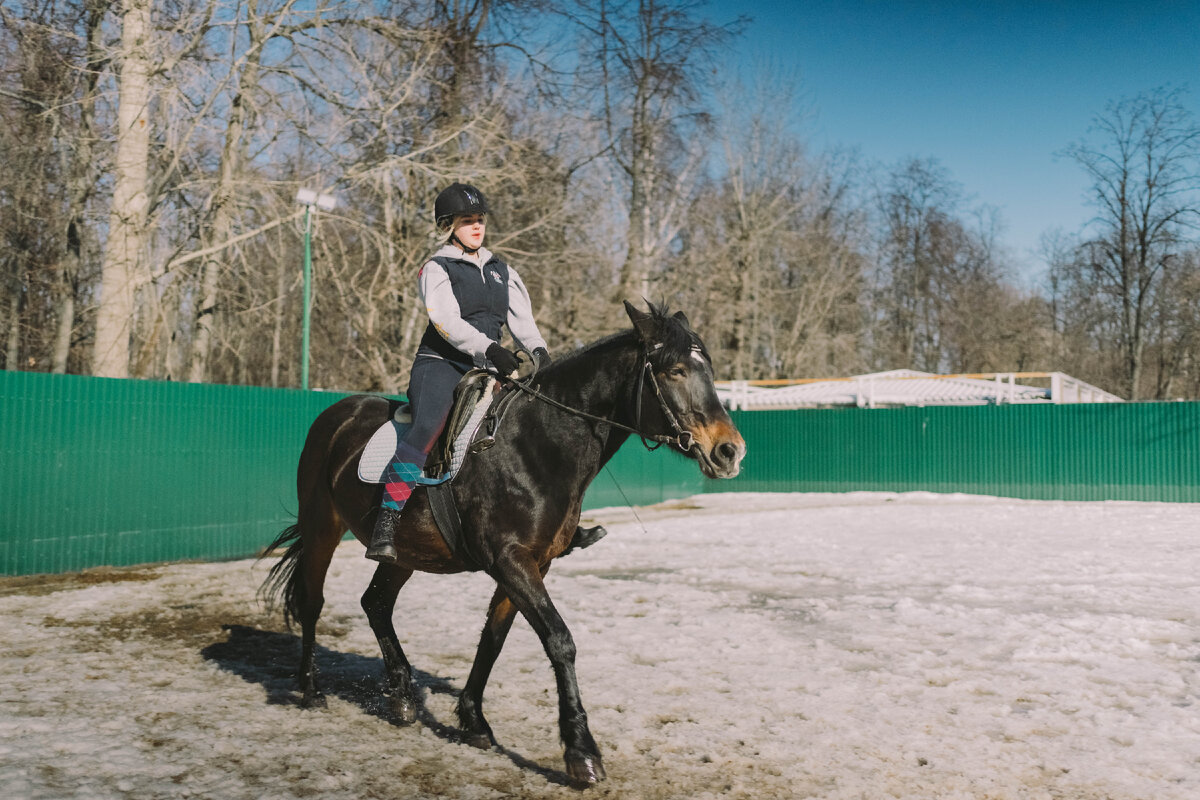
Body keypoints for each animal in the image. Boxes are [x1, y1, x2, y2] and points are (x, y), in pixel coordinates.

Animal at [261, 303, 744, 786]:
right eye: (675, 371)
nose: (730, 451)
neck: (537, 444)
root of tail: (339, 412)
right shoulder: (510, 561)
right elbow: (560, 641)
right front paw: (581, 752)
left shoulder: (532, 565)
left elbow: (493, 640)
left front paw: (474, 721)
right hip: (322, 526)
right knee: (312, 601)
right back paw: (311, 689)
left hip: (404, 552)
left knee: (375, 602)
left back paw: (400, 696)